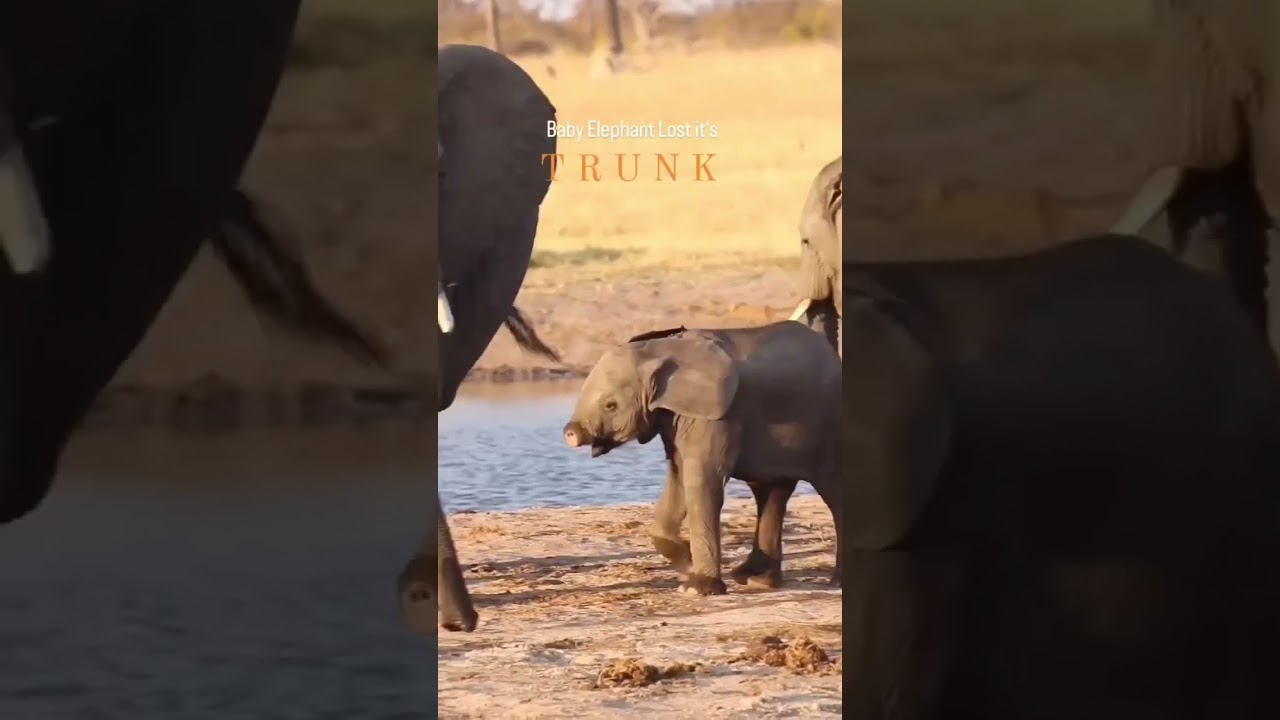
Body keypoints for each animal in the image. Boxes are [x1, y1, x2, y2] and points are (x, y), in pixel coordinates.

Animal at [562, 321, 841, 595]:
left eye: (611, 406)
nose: (570, 433)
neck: (660, 349)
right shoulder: (676, 417)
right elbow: (679, 478)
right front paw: (686, 564)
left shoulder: (720, 416)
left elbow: (702, 482)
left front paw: (696, 587)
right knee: (771, 493)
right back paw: (757, 581)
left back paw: (833, 582)